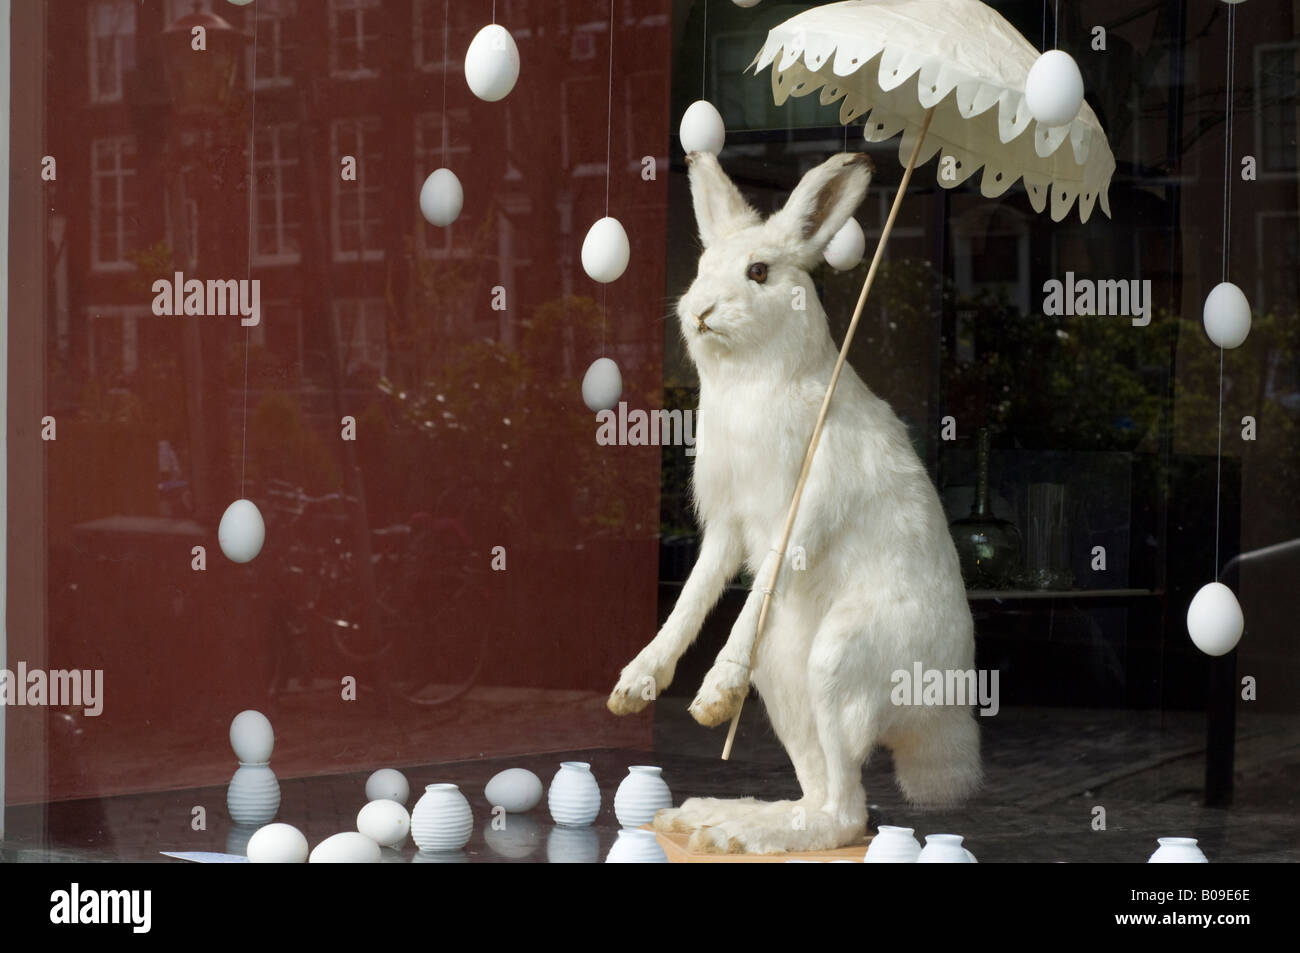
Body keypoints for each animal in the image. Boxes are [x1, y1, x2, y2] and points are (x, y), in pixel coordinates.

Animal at [603, 152, 977, 852]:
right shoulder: (728, 526)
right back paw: (720, 820)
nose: (700, 310)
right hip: (782, 674)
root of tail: (941, 719)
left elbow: (759, 582)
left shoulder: (796, 514)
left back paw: (735, 832)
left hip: (837, 662)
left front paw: (713, 696)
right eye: (702, 266)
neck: (753, 380)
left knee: (849, 813)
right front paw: (635, 685)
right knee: (823, 792)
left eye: (759, 272)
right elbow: (694, 595)